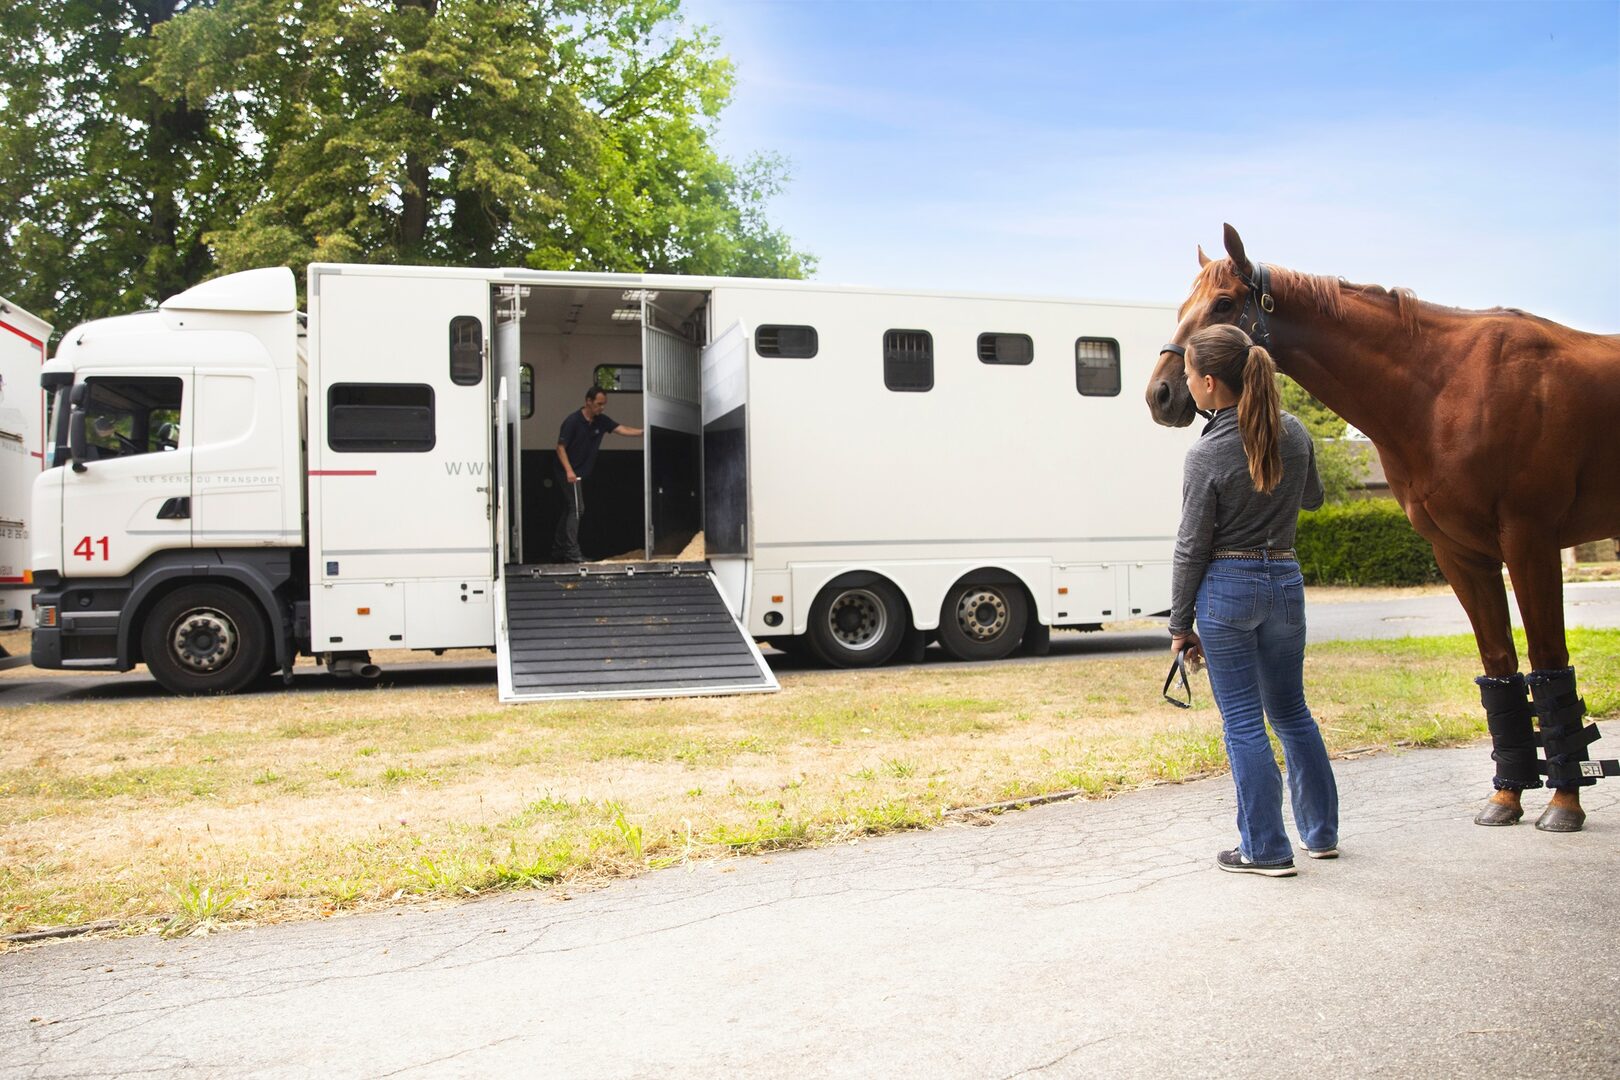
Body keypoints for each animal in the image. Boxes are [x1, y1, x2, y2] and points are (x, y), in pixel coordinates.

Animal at [1146, 226, 1620, 835]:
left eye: (1225, 305)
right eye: (1184, 306)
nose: (1160, 394)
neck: (1446, 387)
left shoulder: (1530, 543)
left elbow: (1547, 662)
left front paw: (1564, 803)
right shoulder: (1460, 554)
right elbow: (1500, 667)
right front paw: (1506, 797)